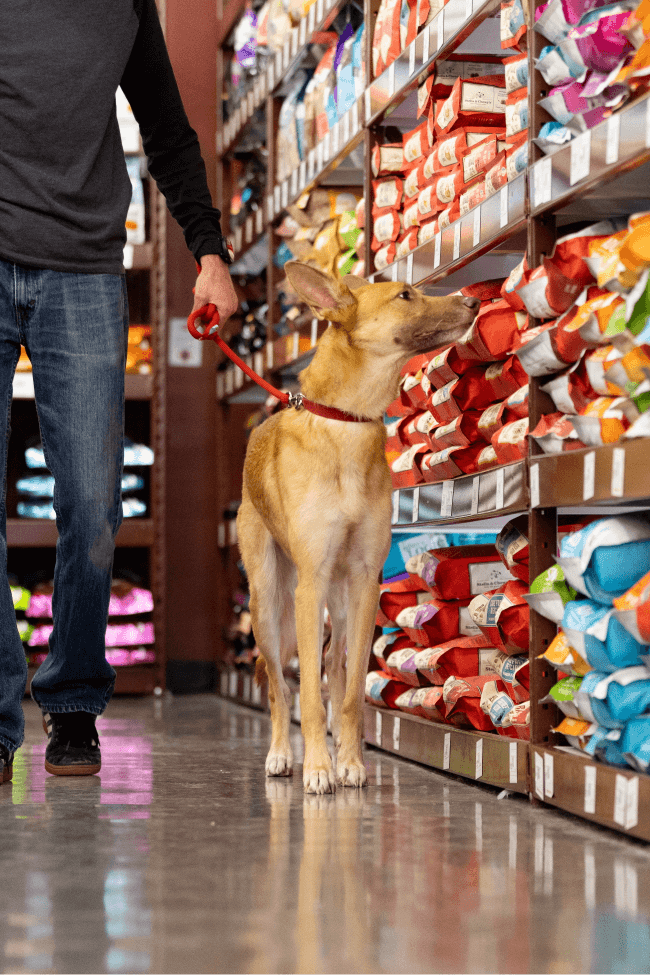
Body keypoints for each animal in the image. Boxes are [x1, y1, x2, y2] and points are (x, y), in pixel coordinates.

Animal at [234, 262, 476, 792]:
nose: (472, 300)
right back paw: (281, 753)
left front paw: (347, 762)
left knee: (334, 666)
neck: (346, 421)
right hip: (270, 601)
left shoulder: (366, 582)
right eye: (405, 295)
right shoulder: (310, 584)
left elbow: (346, 695)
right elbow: (304, 693)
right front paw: (318, 768)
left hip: (341, 602)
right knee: (279, 685)